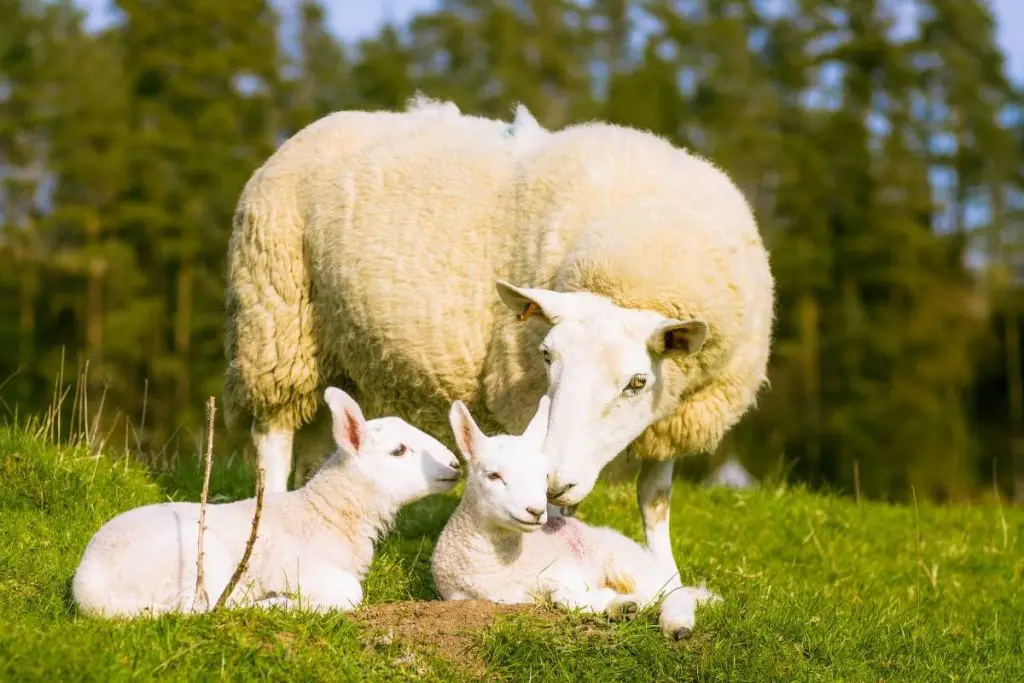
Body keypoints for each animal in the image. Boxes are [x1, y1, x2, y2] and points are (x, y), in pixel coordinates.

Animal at [69, 385, 460, 618]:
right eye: (399, 451)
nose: (456, 464)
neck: (326, 512)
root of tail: (87, 586)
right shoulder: (301, 569)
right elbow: (351, 593)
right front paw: (292, 601)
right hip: (192, 560)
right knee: (204, 607)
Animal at [432, 395, 720, 643]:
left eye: (544, 476)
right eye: (493, 475)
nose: (536, 511)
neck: (497, 570)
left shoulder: (559, 573)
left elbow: (562, 595)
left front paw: (619, 604)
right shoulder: (461, 595)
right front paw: (619, 606)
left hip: (623, 560)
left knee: (673, 593)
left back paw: (677, 624)